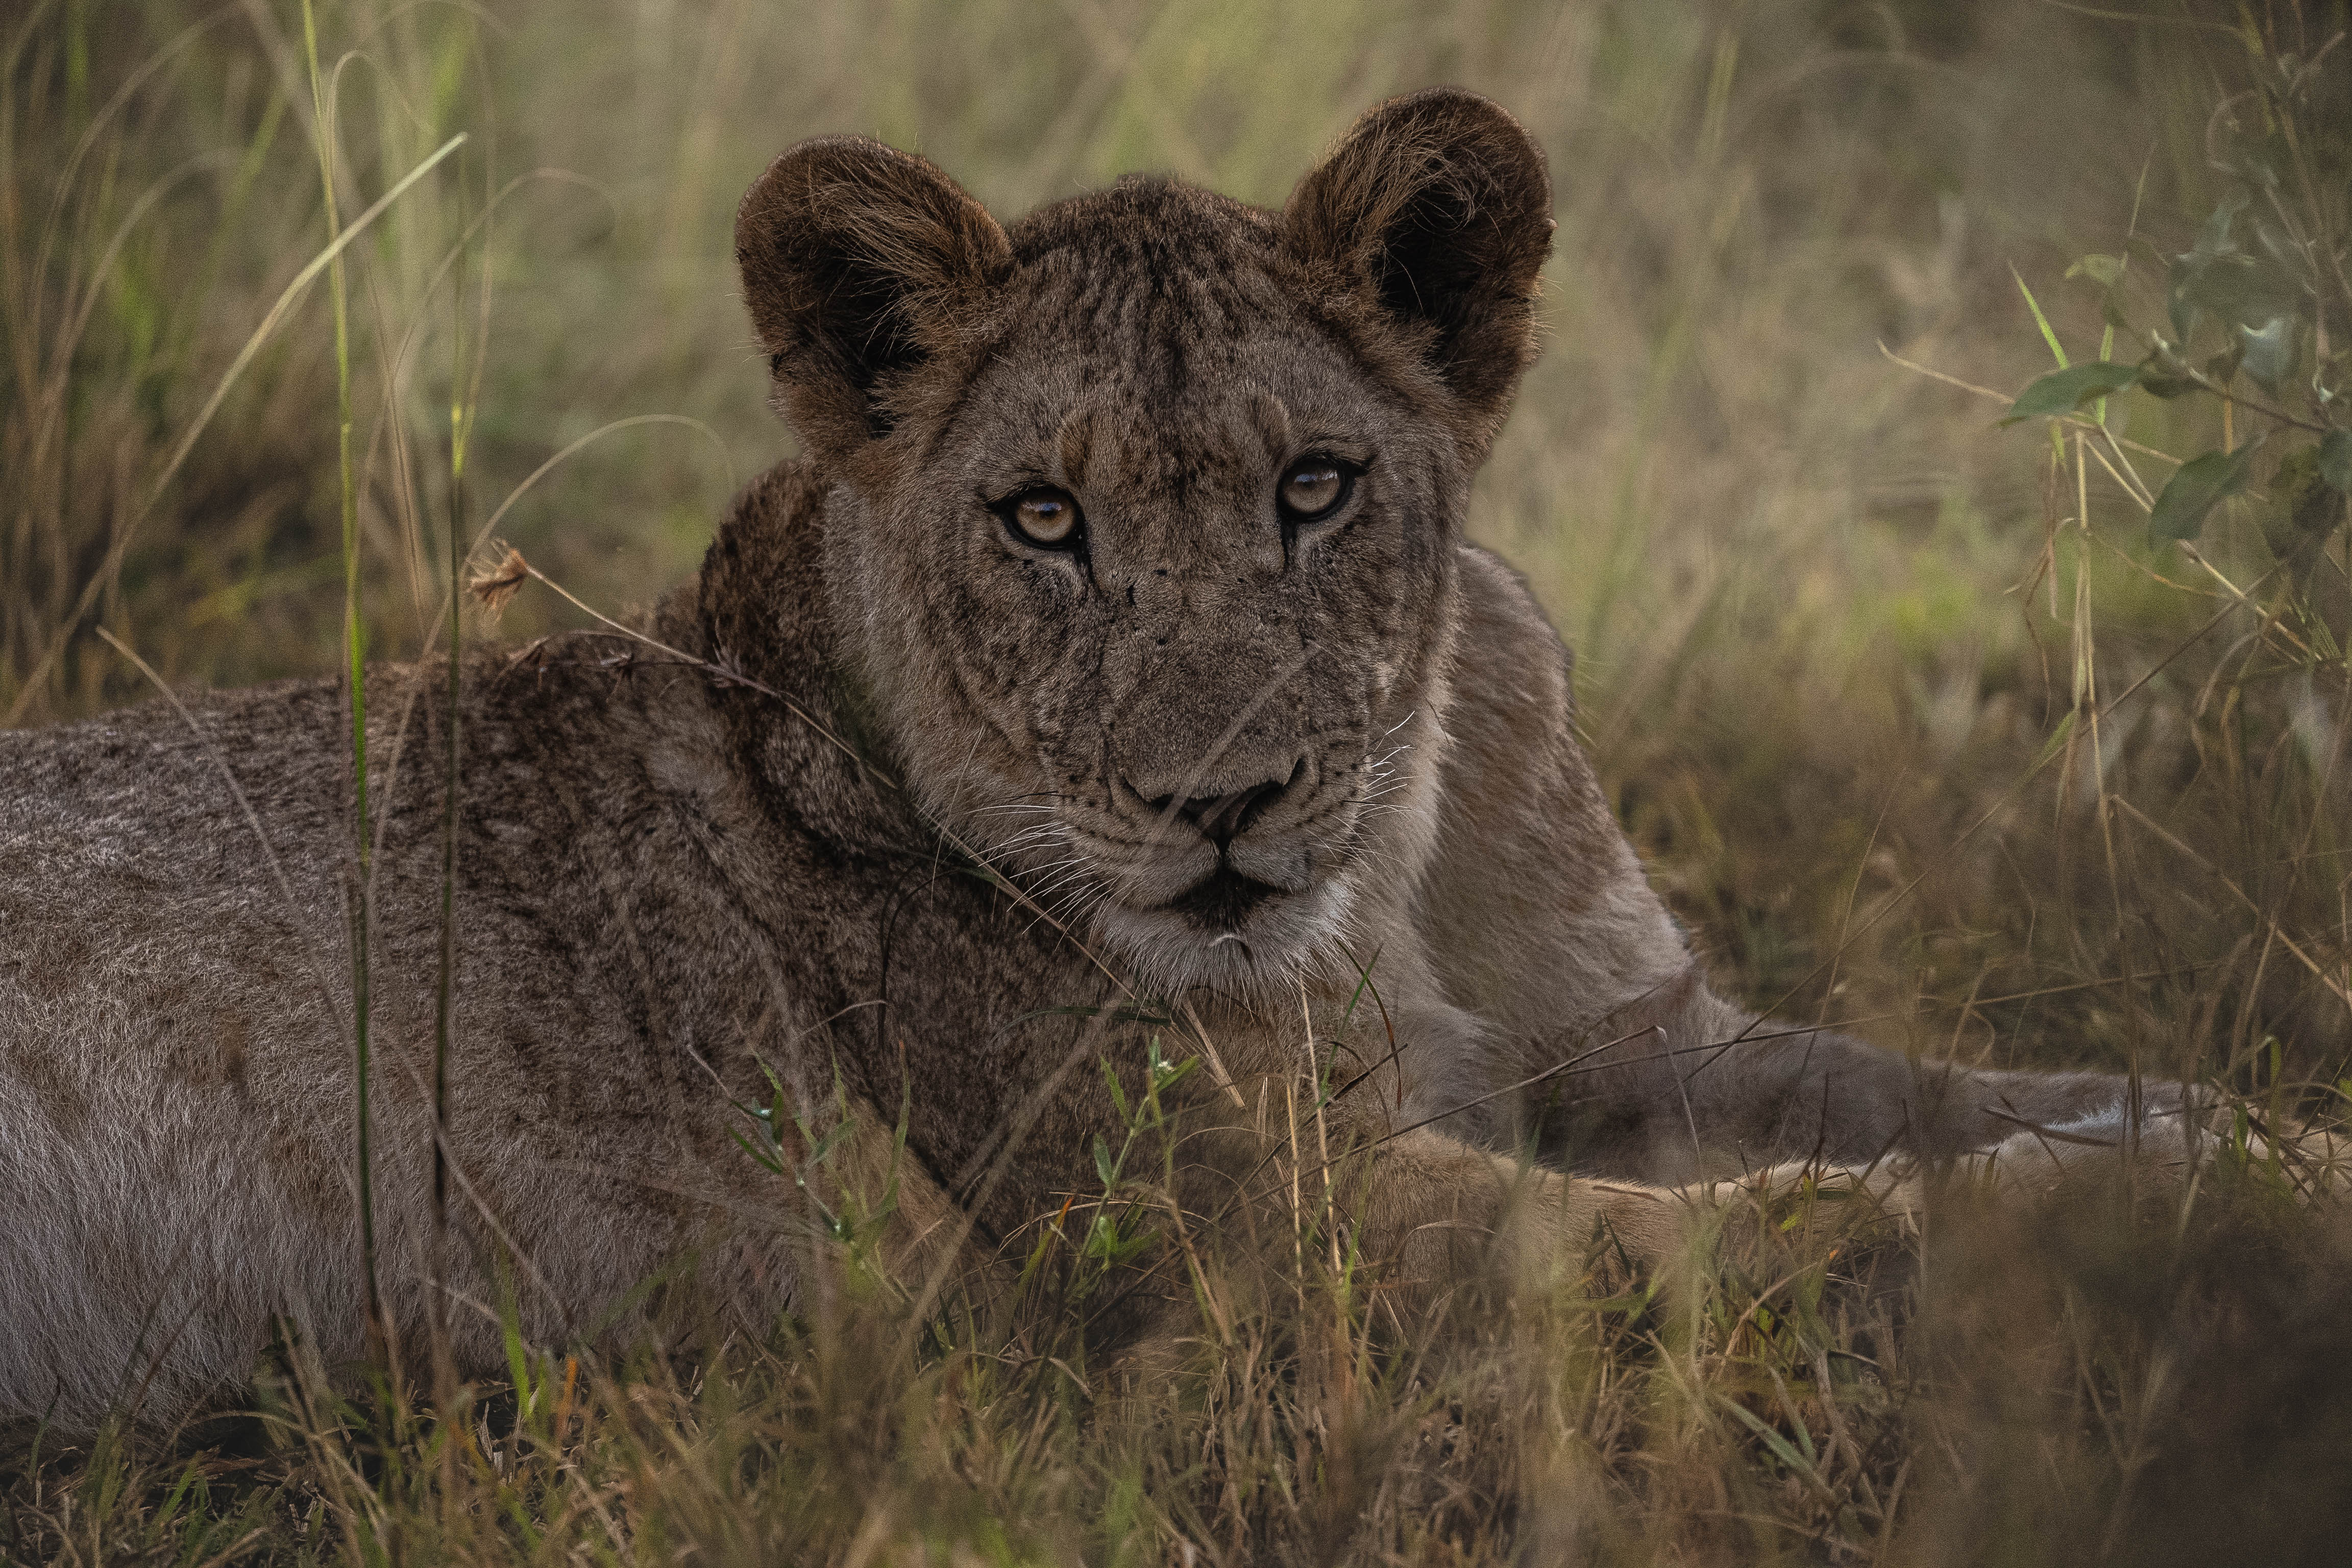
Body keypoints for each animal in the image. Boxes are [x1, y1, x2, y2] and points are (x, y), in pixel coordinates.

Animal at [0, 89, 2187, 1429]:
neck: (1394, 884)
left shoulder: (1633, 1038)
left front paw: (2181, 1117)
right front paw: (2172, 1220)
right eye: (1041, 519)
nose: (1216, 806)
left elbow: (1907, 1087)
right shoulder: (1244, 1240)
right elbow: (1793, 1221)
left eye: (1313, 489)